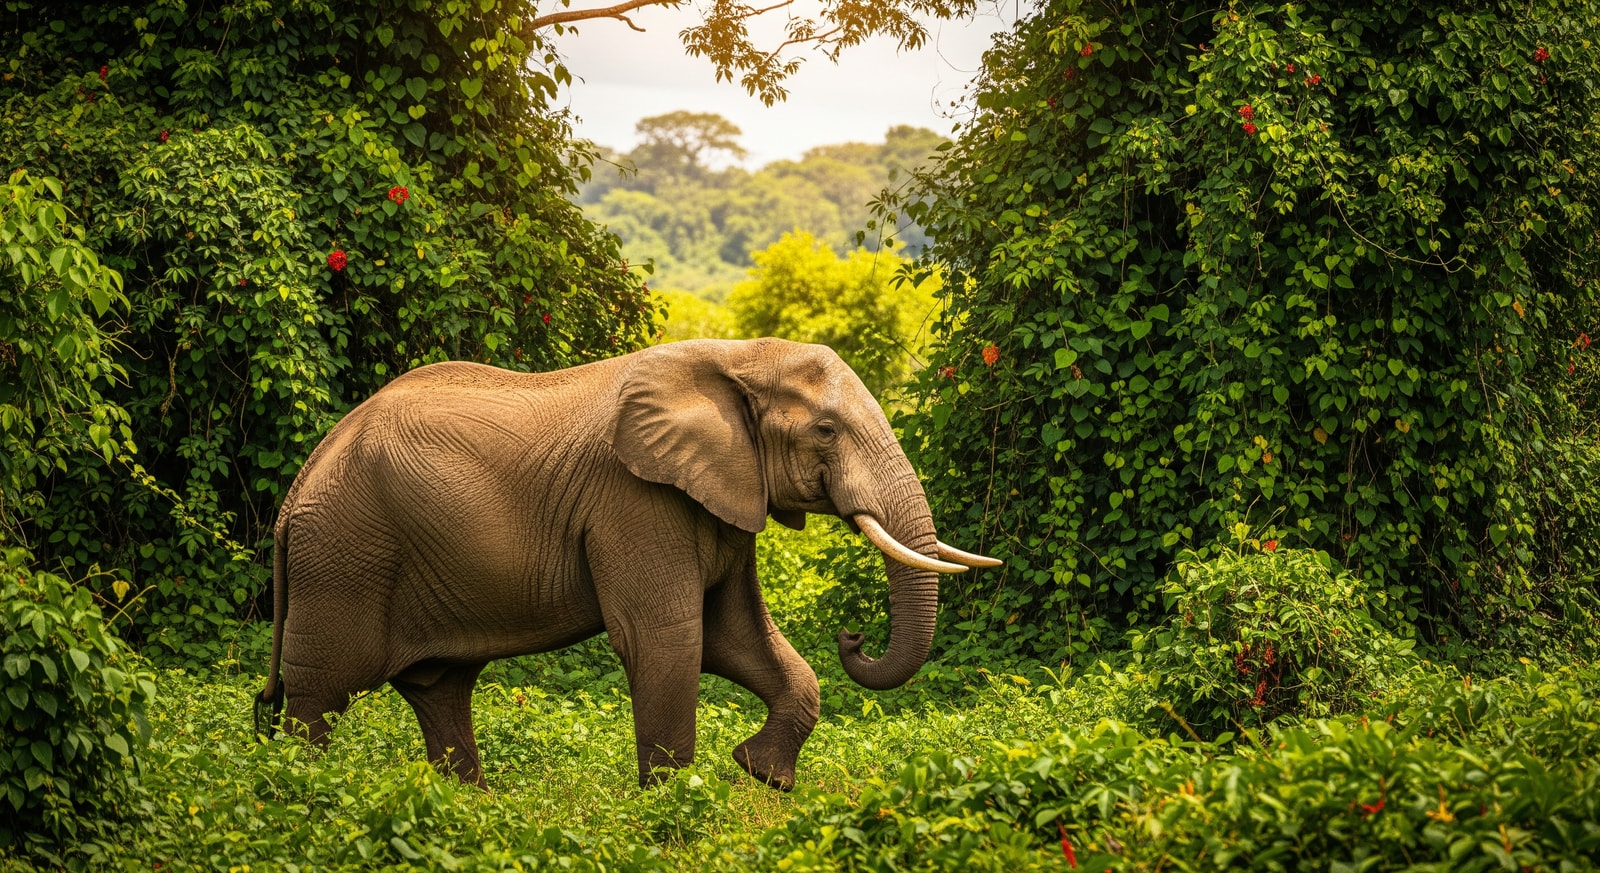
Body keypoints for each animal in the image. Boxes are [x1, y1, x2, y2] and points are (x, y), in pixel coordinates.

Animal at [254, 337, 997, 789]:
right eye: (826, 430)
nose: (854, 635)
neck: (739, 354)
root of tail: (298, 488)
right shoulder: (634, 500)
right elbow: (670, 639)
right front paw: (674, 808)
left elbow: (737, 638)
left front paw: (761, 775)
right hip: (344, 558)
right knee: (320, 696)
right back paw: (300, 796)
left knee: (440, 690)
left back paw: (469, 806)